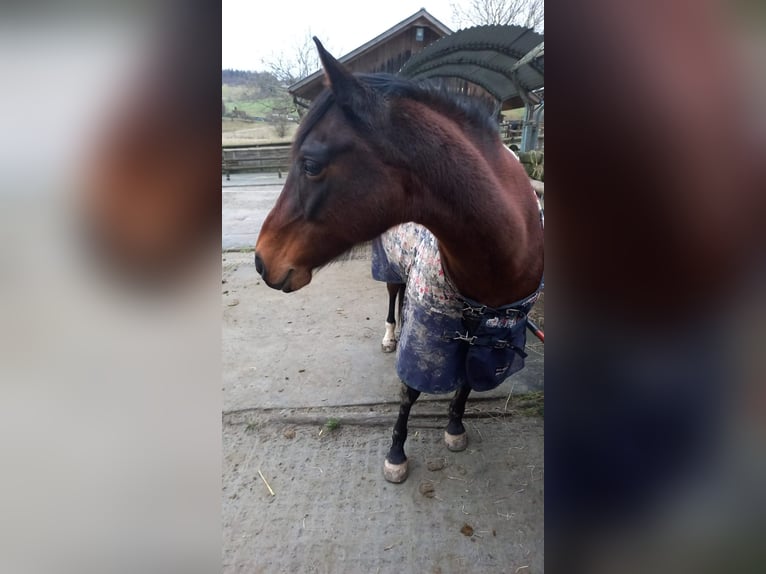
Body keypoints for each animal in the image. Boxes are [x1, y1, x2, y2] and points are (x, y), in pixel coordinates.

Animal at [254, 39, 544, 483]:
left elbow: (465, 383)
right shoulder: (428, 334)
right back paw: (391, 333)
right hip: (389, 267)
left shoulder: (486, 336)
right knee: (393, 298)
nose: (261, 258)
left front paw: (455, 425)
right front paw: (396, 452)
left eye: (311, 164)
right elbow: (410, 390)